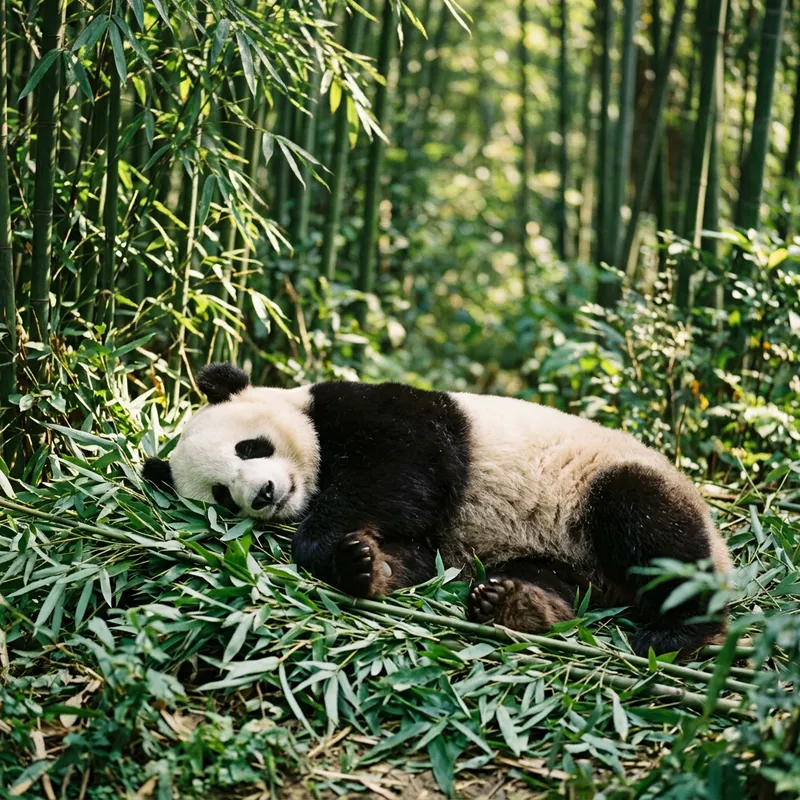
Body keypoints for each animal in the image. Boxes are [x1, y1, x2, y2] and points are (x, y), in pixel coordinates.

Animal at [143, 362, 732, 657]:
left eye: (250, 447)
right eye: (222, 494)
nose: (263, 494)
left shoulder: (377, 411)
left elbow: (406, 467)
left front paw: (326, 544)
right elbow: (419, 557)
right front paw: (362, 563)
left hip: (600, 484)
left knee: (649, 526)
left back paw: (678, 631)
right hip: (557, 558)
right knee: (551, 579)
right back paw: (517, 605)